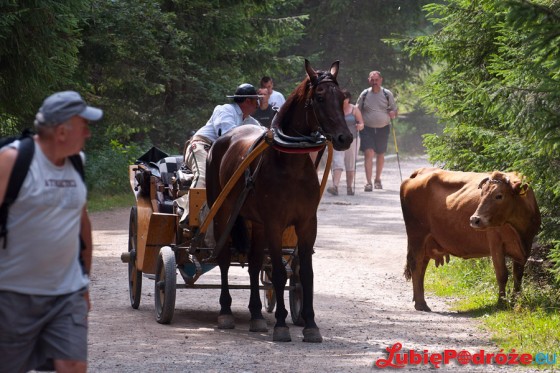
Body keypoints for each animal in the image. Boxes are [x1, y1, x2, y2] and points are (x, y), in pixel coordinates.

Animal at [208, 59, 352, 342]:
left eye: (342, 98)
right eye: (320, 97)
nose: (345, 138)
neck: (291, 163)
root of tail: (224, 139)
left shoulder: (306, 223)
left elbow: (305, 273)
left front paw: (310, 324)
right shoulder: (275, 223)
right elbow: (276, 272)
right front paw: (282, 324)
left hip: (256, 223)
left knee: (254, 265)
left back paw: (255, 315)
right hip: (223, 214)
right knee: (223, 260)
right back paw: (226, 311)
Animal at [400, 169, 540, 310]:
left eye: (499, 196)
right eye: (482, 194)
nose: (474, 219)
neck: (518, 229)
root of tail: (421, 171)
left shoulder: (525, 248)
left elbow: (518, 276)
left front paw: (515, 301)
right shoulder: (495, 243)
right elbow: (502, 275)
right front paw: (501, 302)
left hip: (426, 241)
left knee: (422, 265)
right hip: (417, 235)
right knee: (416, 263)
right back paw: (421, 303)